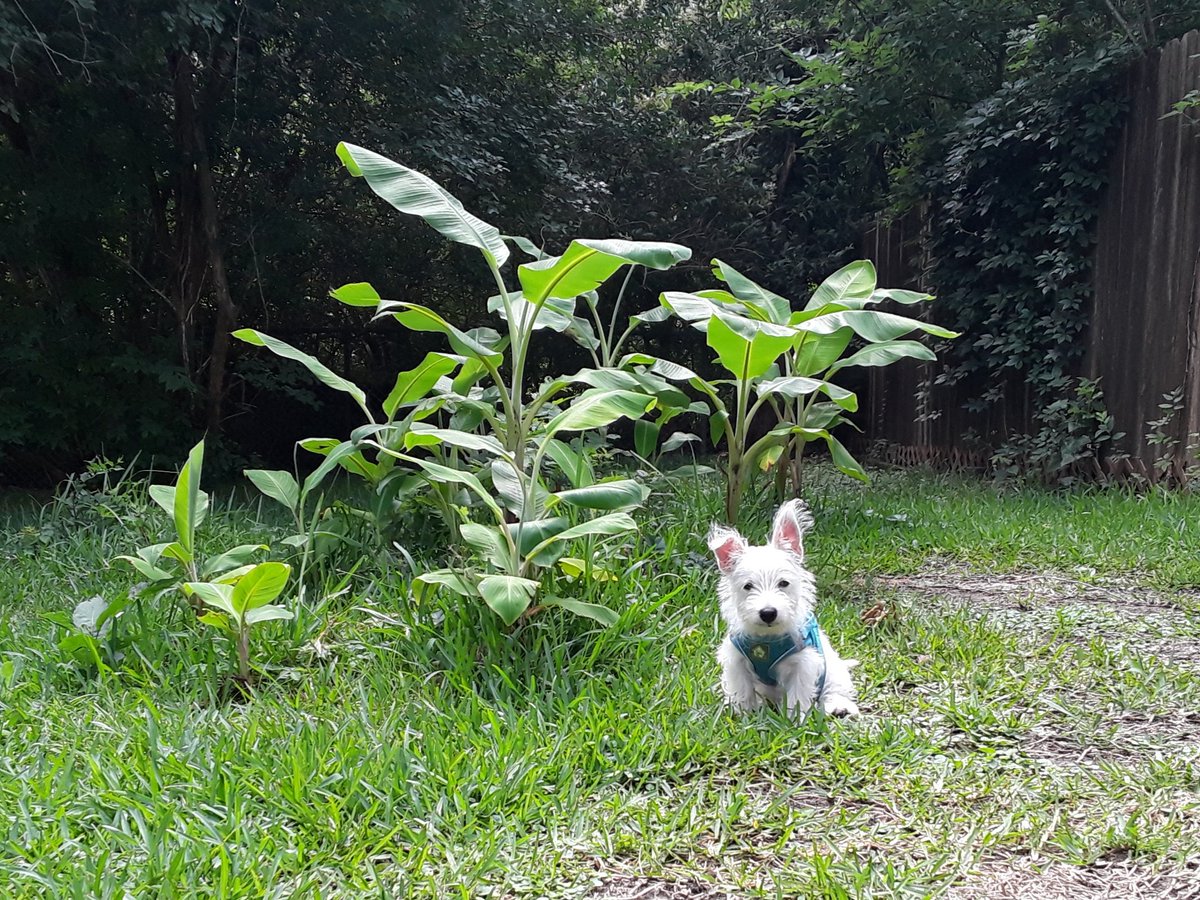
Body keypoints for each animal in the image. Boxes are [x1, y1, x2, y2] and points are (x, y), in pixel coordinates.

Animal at [705, 501, 859, 720]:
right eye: (748, 586)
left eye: (783, 583)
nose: (768, 612)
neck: (766, 640)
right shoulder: (736, 661)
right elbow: (743, 691)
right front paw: (745, 715)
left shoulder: (804, 663)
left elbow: (797, 694)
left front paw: (793, 720)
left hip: (832, 668)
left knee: (834, 688)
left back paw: (839, 706)